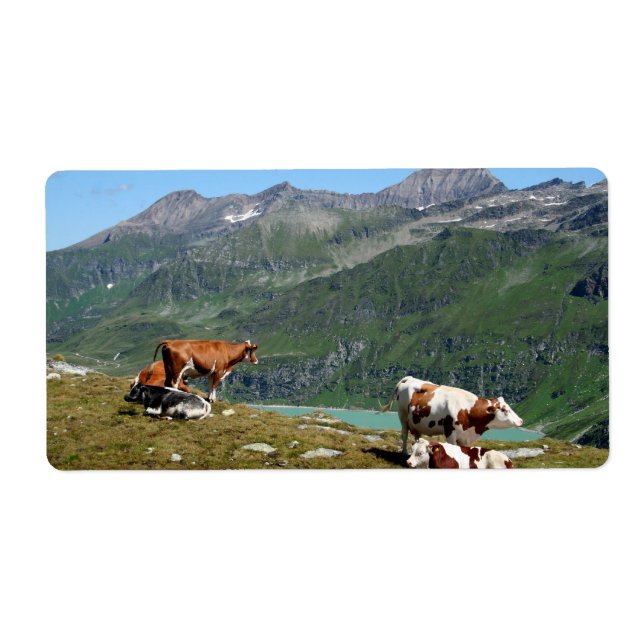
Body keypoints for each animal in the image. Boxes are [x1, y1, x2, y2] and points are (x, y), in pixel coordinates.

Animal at [381, 375, 523, 453]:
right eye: (504, 410)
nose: (521, 420)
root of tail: (410, 378)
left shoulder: (465, 437)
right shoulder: (450, 432)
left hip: (416, 420)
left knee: (417, 435)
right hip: (403, 416)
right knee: (404, 434)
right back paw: (404, 452)